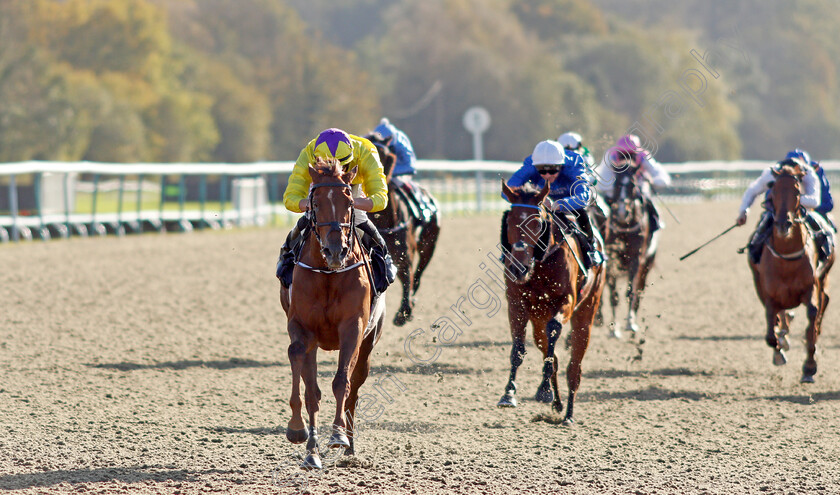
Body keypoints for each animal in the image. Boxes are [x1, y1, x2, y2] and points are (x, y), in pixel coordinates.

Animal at [282, 158, 388, 468]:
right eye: (315, 202)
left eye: (350, 201)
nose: (335, 250)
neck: (328, 274)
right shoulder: (302, 326)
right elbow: (301, 368)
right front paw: (297, 430)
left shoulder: (353, 327)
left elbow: (342, 382)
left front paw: (339, 435)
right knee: (313, 390)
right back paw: (312, 453)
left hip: (369, 343)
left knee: (354, 389)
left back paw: (350, 448)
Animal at [370, 138, 442, 328]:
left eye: (387, 156)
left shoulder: (404, 256)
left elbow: (408, 278)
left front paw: (403, 313)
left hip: (429, 246)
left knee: (417, 276)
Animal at [496, 182, 608, 426]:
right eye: (509, 221)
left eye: (537, 222)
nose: (518, 268)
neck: (540, 264)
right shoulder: (516, 303)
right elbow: (518, 349)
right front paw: (509, 393)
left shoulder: (566, 301)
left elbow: (555, 331)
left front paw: (544, 390)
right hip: (538, 320)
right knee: (550, 352)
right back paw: (557, 403)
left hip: (587, 311)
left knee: (574, 367)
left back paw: (568, 414)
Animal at [596, 165, 656, 340]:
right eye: (616, 185)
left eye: (633, 185)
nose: (622, 212)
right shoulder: (610, 262)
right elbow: (613, 296)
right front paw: (613, 329)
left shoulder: (636, 259)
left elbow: (630, 292)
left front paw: (630, 324)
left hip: (646, 265)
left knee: (639, 291)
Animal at [752, 163, 832, 384]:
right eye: (773, 191)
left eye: (797, 191)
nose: (782, 224)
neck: (786, 258)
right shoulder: (770, 294)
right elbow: (771, 332)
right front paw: (779, 351)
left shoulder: (811, 287)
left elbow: (813, 316)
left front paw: (809, 367)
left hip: (824, 277)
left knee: (823, 303)